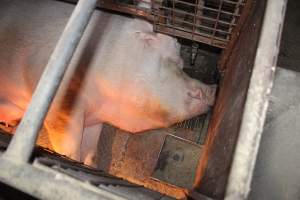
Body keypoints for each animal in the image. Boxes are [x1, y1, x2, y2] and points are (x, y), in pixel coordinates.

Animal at [0, 0, 216, 166]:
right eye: (174, 62)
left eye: (181, 63)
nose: (214, 89)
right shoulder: (60, 103)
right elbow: (69, 146)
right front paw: (69, 159)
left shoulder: (94, 119)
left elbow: (91, 150)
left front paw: (91, 165)